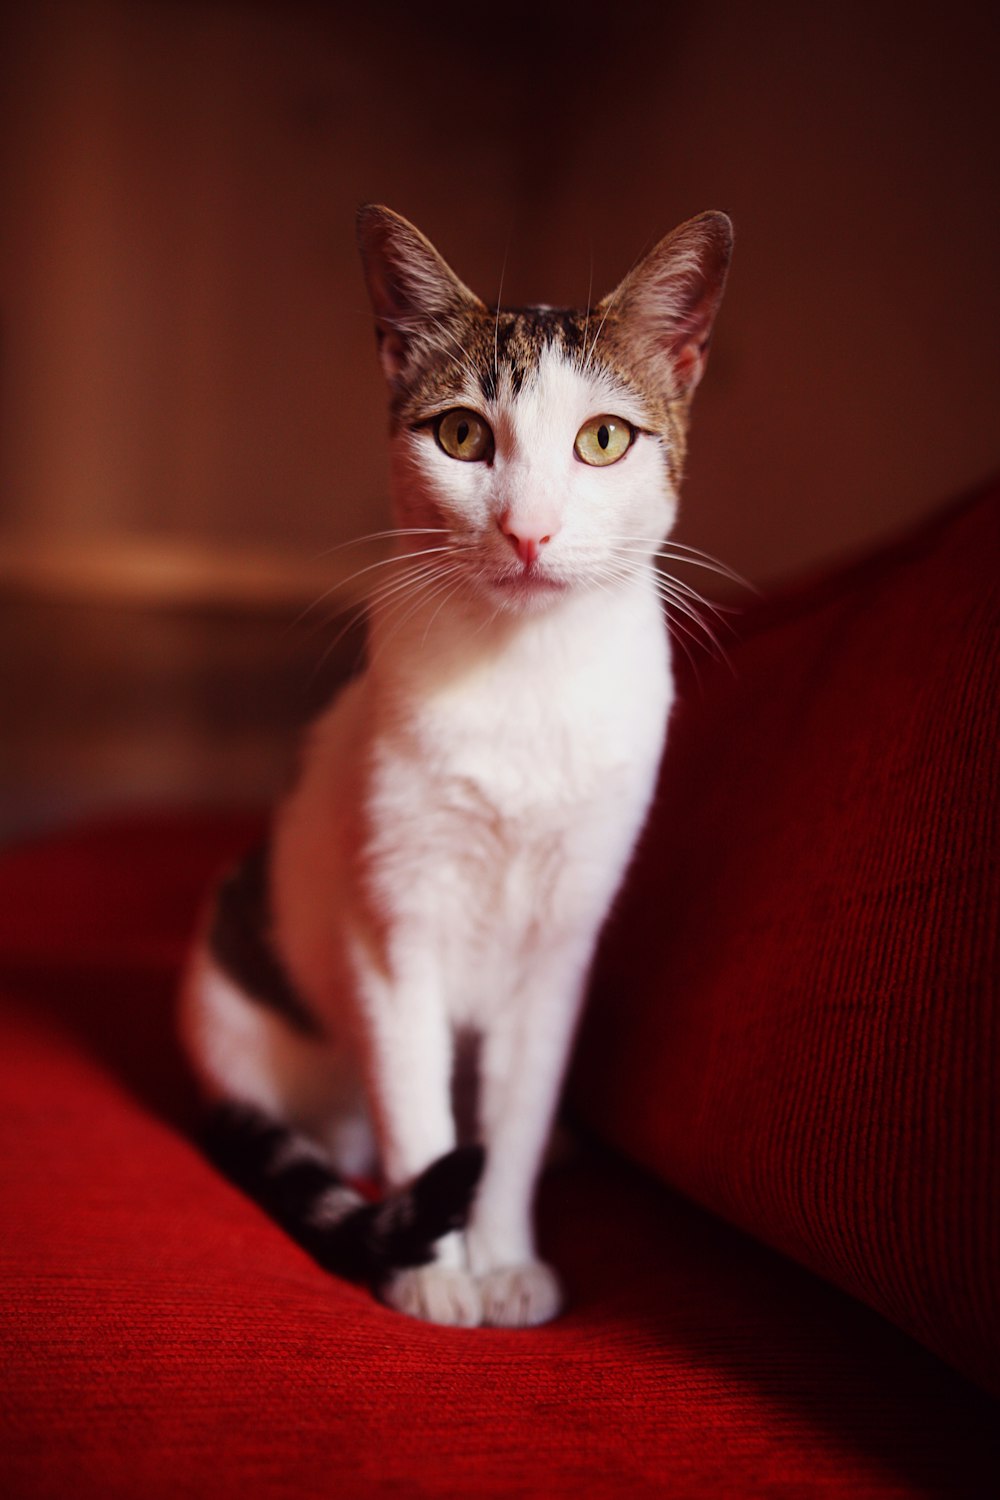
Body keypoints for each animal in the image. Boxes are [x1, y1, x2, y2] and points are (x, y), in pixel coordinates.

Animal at [179, 199, 731, 1326]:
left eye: (603, 438)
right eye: (462, 434)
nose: (528, 531)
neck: (520, 681)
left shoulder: (561, 945)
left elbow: (507, 1127)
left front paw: (504, 1253)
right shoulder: (393, 929)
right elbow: (420, 1111)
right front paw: (433, 1272)